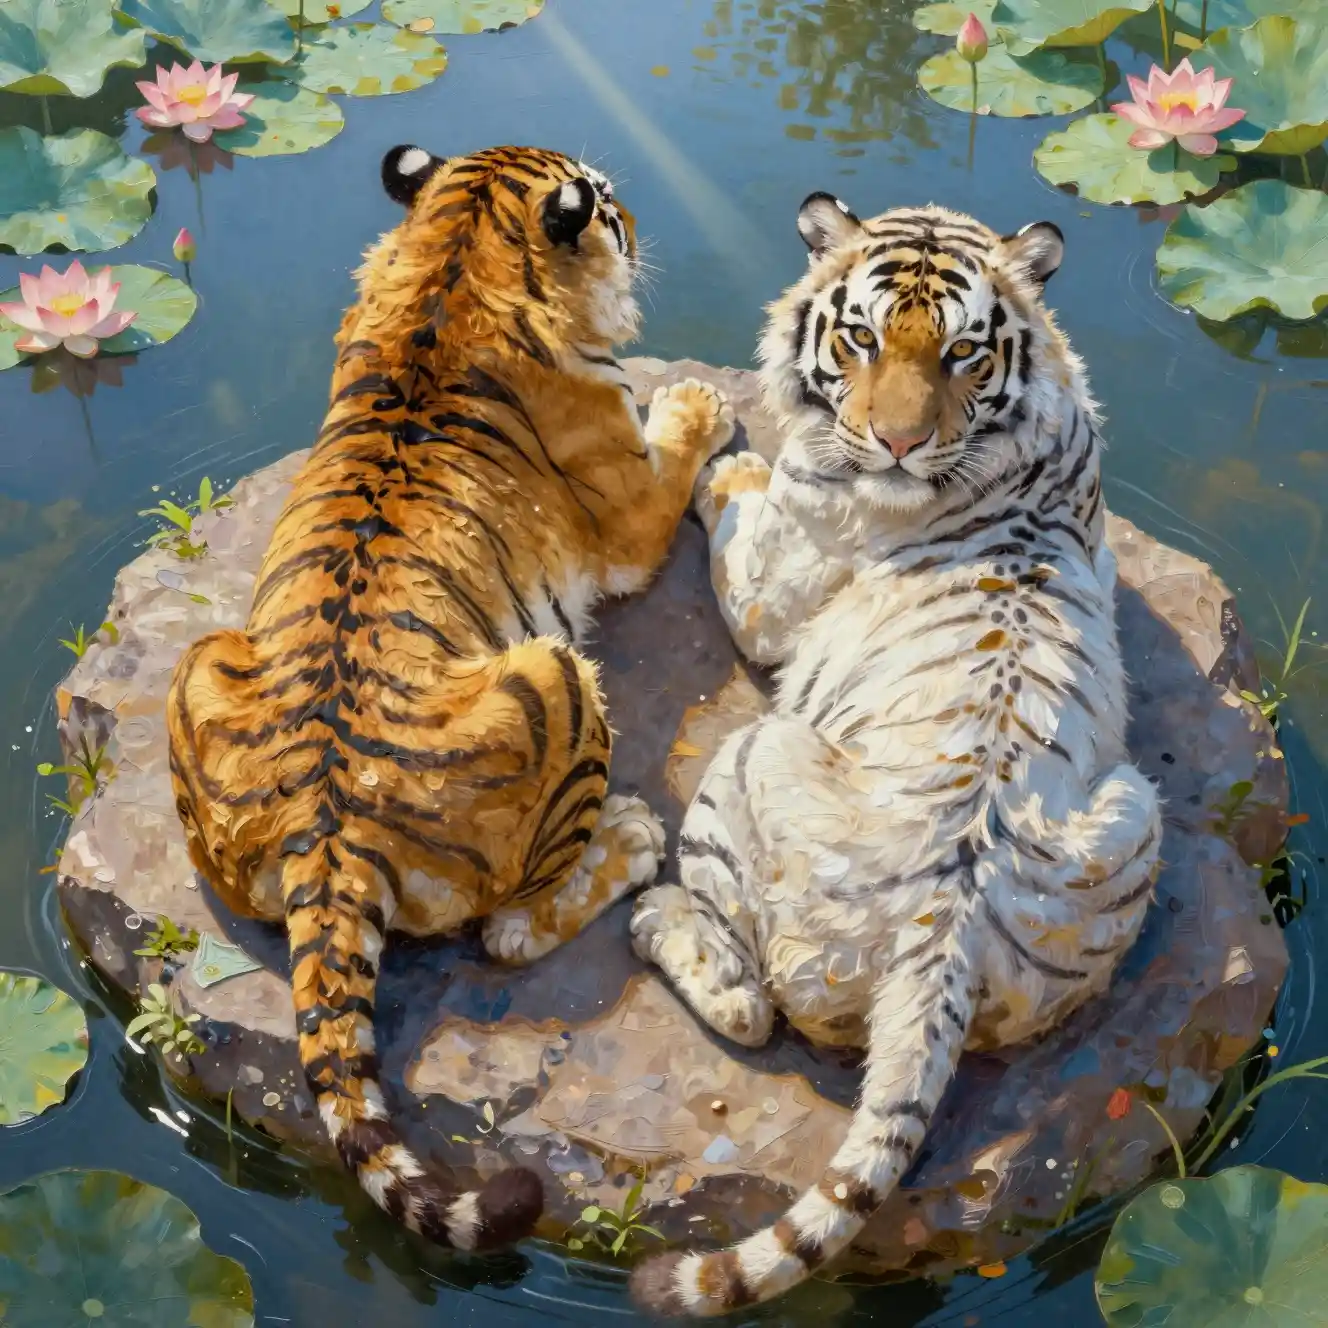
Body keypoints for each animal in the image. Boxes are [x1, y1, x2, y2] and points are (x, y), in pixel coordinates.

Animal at [165, 142, 735, 1253]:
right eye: (608, 202)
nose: (637, 221)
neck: (456, 258)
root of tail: (324, 838)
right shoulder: (633, 518)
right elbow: (676, 447)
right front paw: (700, 399)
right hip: (554, 673)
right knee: (508, 930)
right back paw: (633, 834)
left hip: (204, 657)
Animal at [628, 195, 1162, 1315]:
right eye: (863, 338)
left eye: (962, 351)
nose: (898, 441)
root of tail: (943, 938)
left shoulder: (770, 586)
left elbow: (737, 509)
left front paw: (722, 442)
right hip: (1136, 808)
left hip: (752, 754)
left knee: (747, 1005)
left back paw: (656, 917)